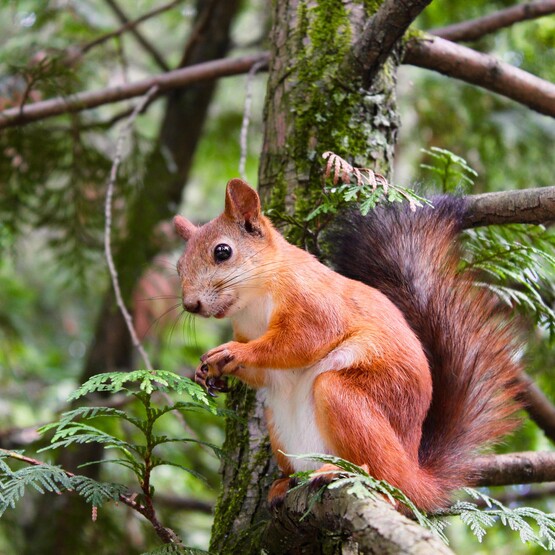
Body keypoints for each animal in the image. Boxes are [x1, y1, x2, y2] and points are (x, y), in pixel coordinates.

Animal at [176, 178, 524, 512]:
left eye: (223, 252)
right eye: (179, 266)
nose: (190, 305)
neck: (254, 301)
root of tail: (415, 475)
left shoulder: (314, 302)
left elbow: (300, 342)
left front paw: (233, 353)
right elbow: (264, 372)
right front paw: (209, 371)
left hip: (347, 399)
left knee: (385, 480)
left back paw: (343, 472)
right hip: (279, 426)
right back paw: (284, 483)